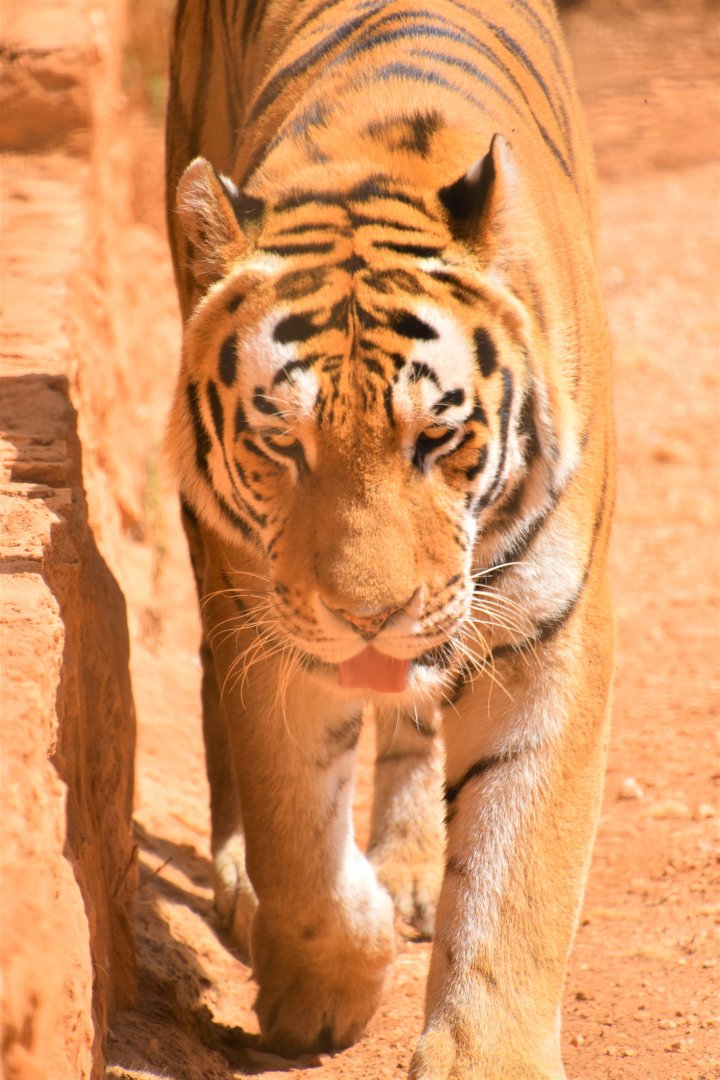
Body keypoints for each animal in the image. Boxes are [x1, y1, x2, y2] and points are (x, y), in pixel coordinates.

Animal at [165, 0, 614, 1075]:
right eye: (282, 443)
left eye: (436, 439)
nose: (372, 615)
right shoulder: (273, 630)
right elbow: (299, 845)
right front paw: (322, 981)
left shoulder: (551, 630)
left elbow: (519, 866)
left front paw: (488, 1053)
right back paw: (247, 883)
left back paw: (410, 868)